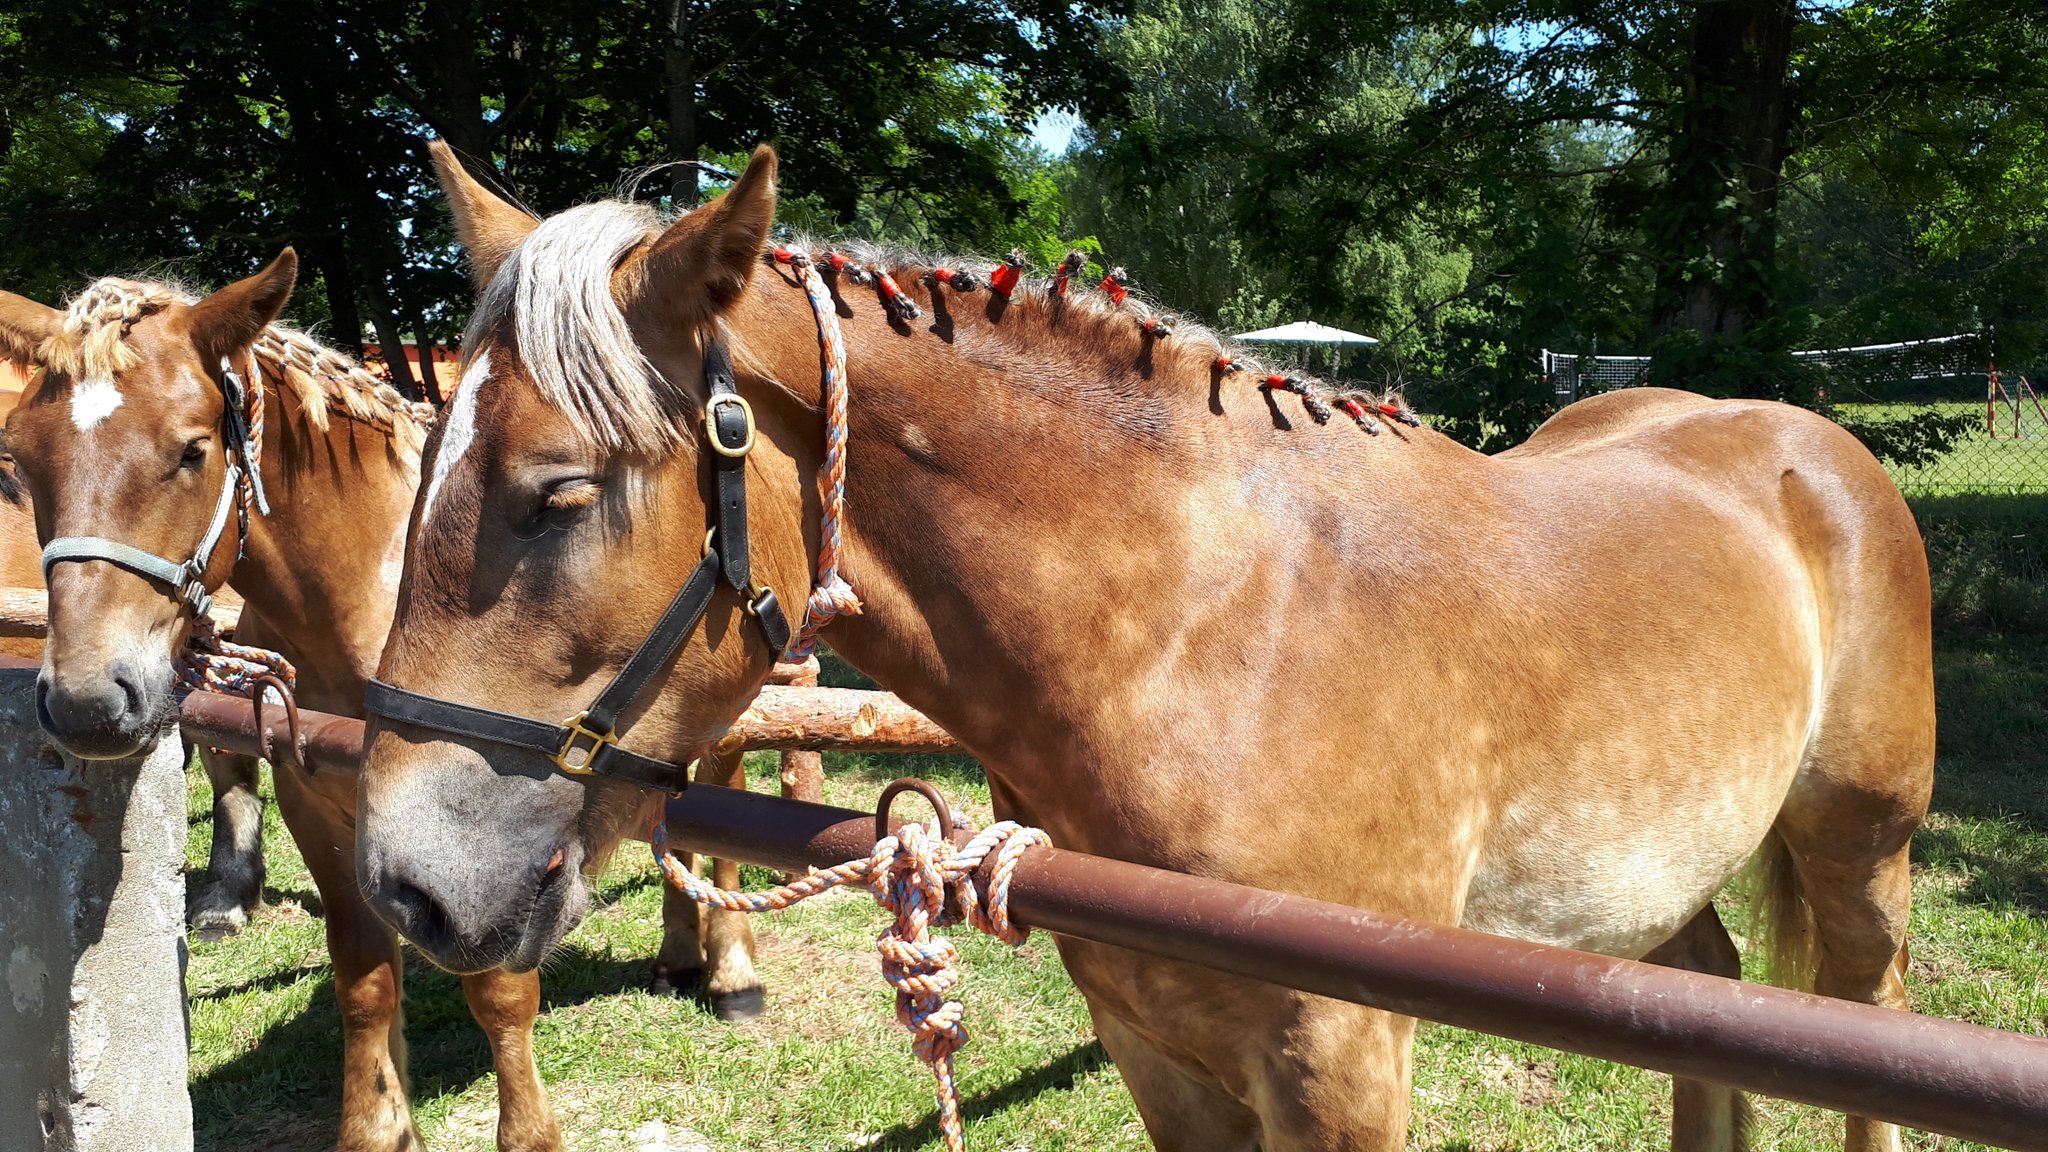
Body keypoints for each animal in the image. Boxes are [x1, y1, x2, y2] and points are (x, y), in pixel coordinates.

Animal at [357, 143, 1934, 1152]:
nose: (404, 885)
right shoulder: (1156, 1052)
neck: (1208, 640)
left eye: (559, 493)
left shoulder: (1341, 1069)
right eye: (417, 460)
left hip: (1861, 862)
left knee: (1869, 1032)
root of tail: (1805, 443)